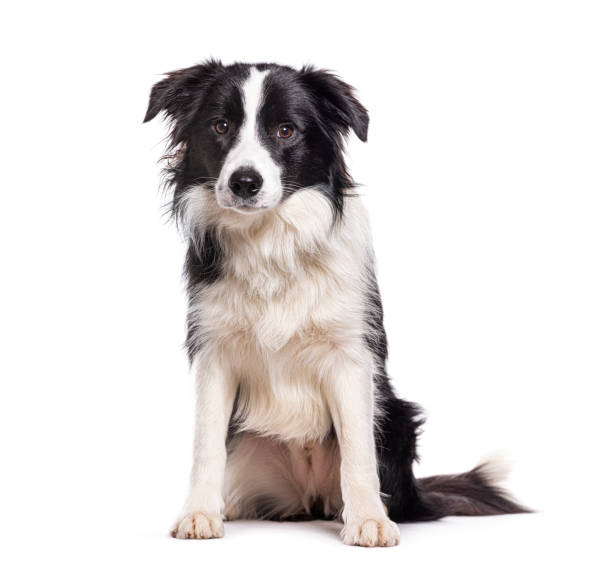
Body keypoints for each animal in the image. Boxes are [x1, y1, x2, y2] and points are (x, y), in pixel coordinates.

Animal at [145, 60, 524, 548]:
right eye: (220, 126)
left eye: (286, 130)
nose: (244, 182)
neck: (271, 242)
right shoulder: (215, 352)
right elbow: (205, 443)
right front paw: (198, 512)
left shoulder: (351, 357)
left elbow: (357, 450)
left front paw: (369, 520)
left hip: (397, 417)